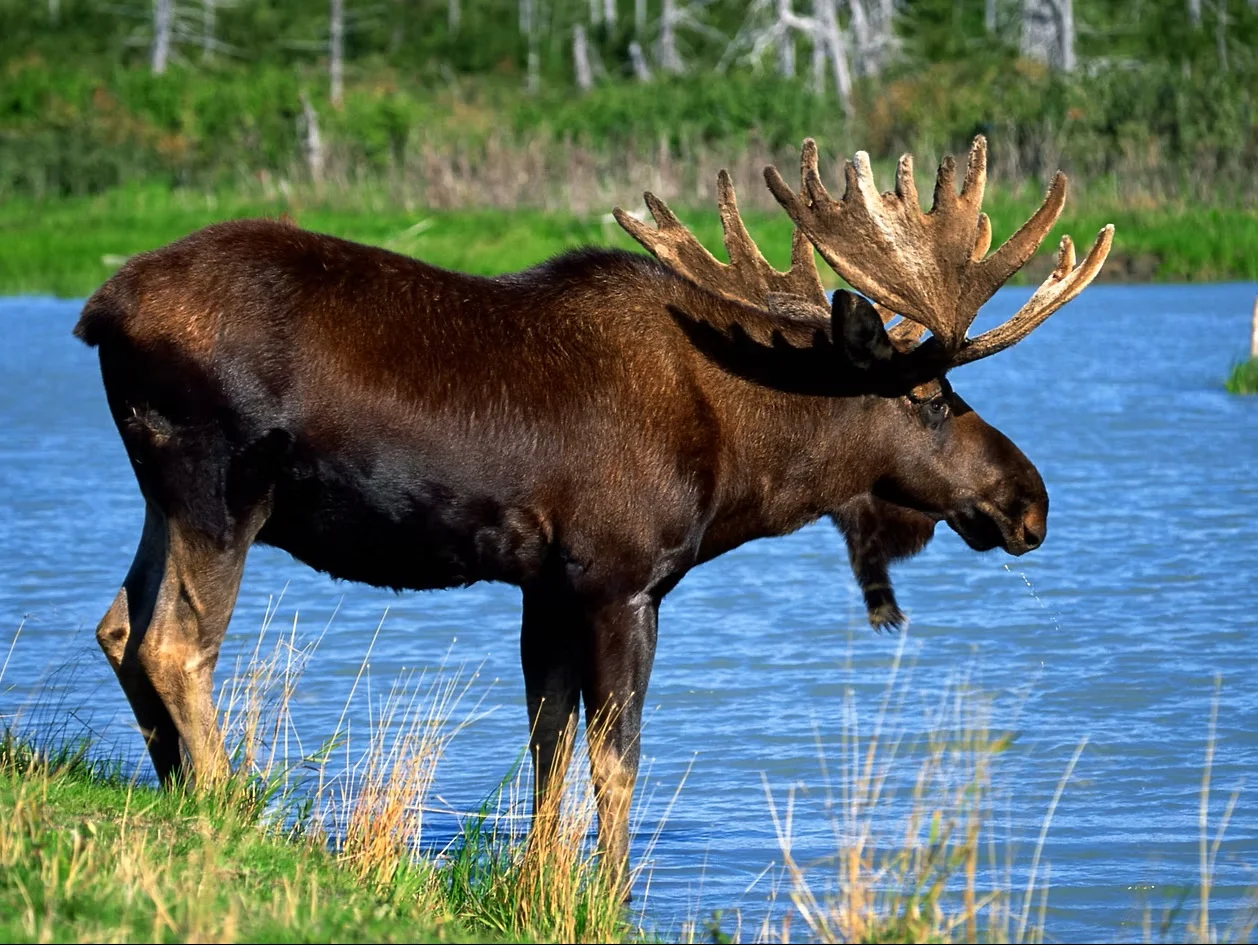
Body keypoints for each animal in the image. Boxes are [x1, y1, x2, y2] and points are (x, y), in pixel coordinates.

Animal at [73, 135, 1111, 893]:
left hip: (161, 493)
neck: (745, 458)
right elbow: (617, 758)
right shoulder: (622, 580)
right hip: (221, 486)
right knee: (175, 641)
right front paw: (610, 894)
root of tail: (98, 310)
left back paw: (178, 795)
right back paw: (226, 808)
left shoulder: (547, 585)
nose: (1030, 500)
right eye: (932, 395)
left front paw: (538, 885)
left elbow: (548, 744)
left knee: (119, 623)